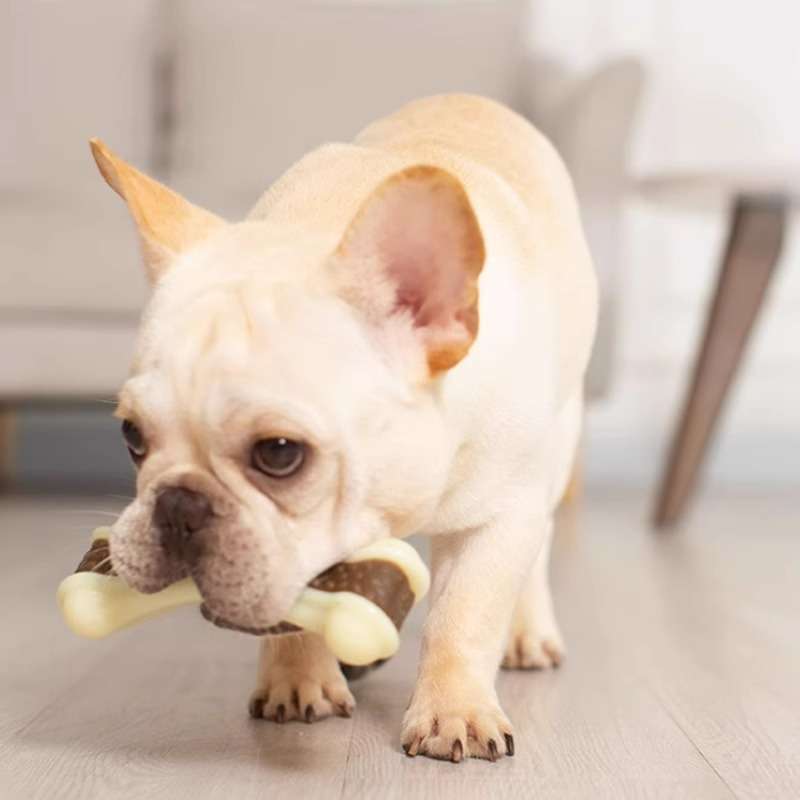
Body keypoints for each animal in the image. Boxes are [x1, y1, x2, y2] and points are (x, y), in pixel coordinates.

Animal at [92, 94, 592, 764]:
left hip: (558, 441)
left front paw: (454, 710)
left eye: (279, 453)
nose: (177, 505)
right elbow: (297, 608)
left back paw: (529, 634)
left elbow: (463, 616)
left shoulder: (500, 517)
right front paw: (299, 679)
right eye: (132, 438)